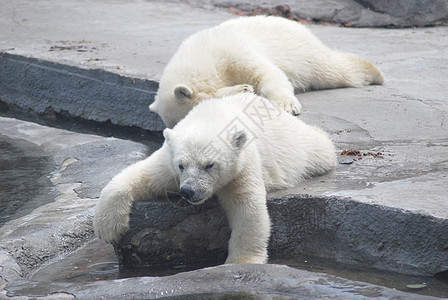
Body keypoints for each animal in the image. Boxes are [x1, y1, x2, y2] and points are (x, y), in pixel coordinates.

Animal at [95, 93, 340, 262]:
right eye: (182, 165)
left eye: (209, 165)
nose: (188, 191)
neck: (212, 116)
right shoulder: (169, 162)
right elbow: (142, 174)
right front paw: (108, 228)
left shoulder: (242, 164)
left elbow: (248, 209)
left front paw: (241, 262)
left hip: (295, 145)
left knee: (318, 149)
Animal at [150, 15, 384, 127]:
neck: (204, 56)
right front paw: (242, 89)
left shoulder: (232, 52)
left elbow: (266, 73)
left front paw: (287, 106)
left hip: (303, 52)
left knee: (331, 71)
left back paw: (374, 73)